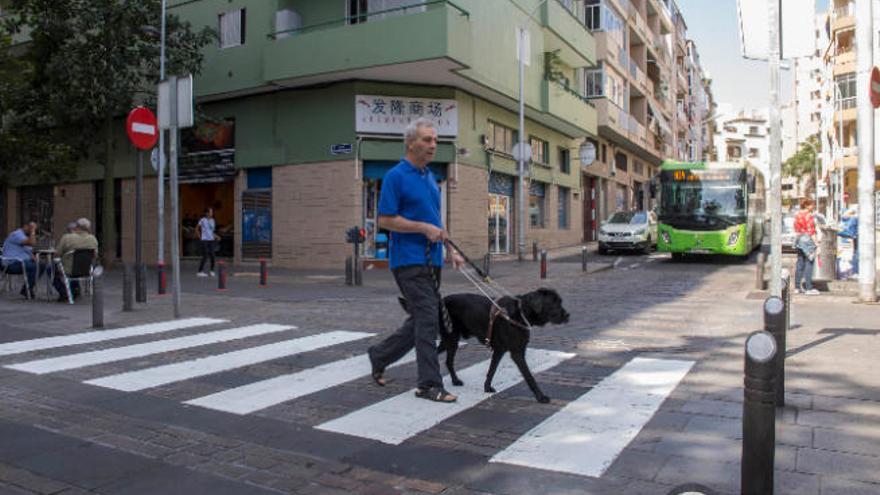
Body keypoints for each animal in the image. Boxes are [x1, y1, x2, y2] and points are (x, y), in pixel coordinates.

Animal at [400, 290, 572, 404]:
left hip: (450, 340)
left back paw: (453, 381)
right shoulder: (517, 353)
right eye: (554, 303)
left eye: (560, 301)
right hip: (451, 338)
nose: (568, 315)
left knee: (446, 360)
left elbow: (491, 370)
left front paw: (487, 387)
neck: (520, 313)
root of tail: (441, 301)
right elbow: (529, 377)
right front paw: (540, 397)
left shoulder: (499, 350)